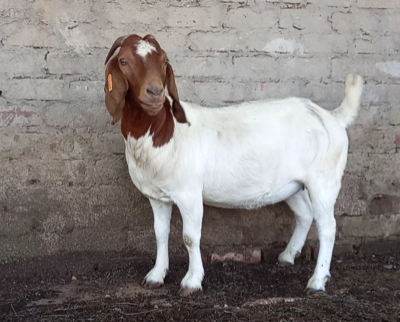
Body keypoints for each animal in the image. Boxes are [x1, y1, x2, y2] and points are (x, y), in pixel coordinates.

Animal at [104, 34, 364, 296]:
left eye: (164, 61)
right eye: (124, 61)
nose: (155, 92)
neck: (166, 131)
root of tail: (333, 116)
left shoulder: (189, 193)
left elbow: (190, 237)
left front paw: (192, 281)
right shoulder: (157, 195)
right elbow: (160, 233)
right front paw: (156, 276)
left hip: (324, 180)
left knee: (328, 227)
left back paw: (317, 282)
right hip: (293, 184)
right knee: (305, 214)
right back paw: (287, 256)